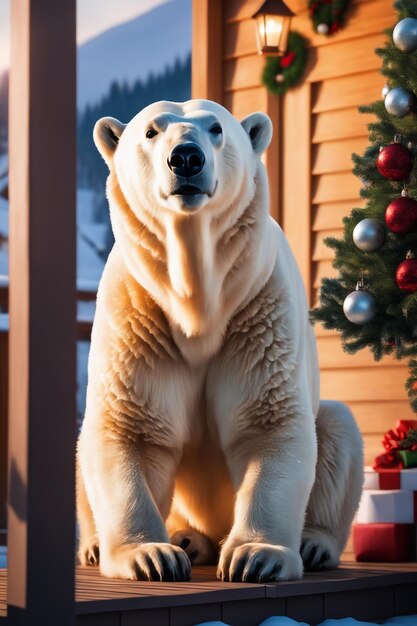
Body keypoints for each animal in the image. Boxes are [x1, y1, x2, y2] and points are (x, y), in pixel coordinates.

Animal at [76, 97, 362, 580]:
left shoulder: (260, 310)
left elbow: (270, 424)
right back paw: (160, 541)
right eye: (151, 131)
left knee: (337, 428)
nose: (186, 158)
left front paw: (256, 557)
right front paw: (150, 556)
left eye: (216, 128)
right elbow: (131, 429)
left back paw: (312, 544)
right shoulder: (138, 316)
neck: (199, 306)